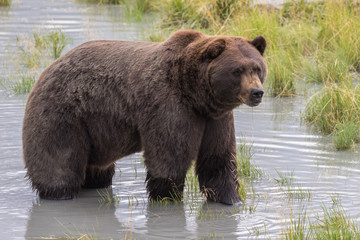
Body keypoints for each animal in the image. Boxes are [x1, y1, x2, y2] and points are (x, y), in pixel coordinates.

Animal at [22, 29, 266, 204]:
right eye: (237, 71)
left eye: (257, 68)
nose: (257, 92)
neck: (194, 93)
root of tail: (46, 71)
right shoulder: (169, 106)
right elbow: (169, 157)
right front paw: (166, 196)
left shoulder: (216, 118)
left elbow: (218, 159)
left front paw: (231, 200)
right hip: (63, 114)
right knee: (59, 161)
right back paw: (59, 192)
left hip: (94, 130)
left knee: (97, 170)